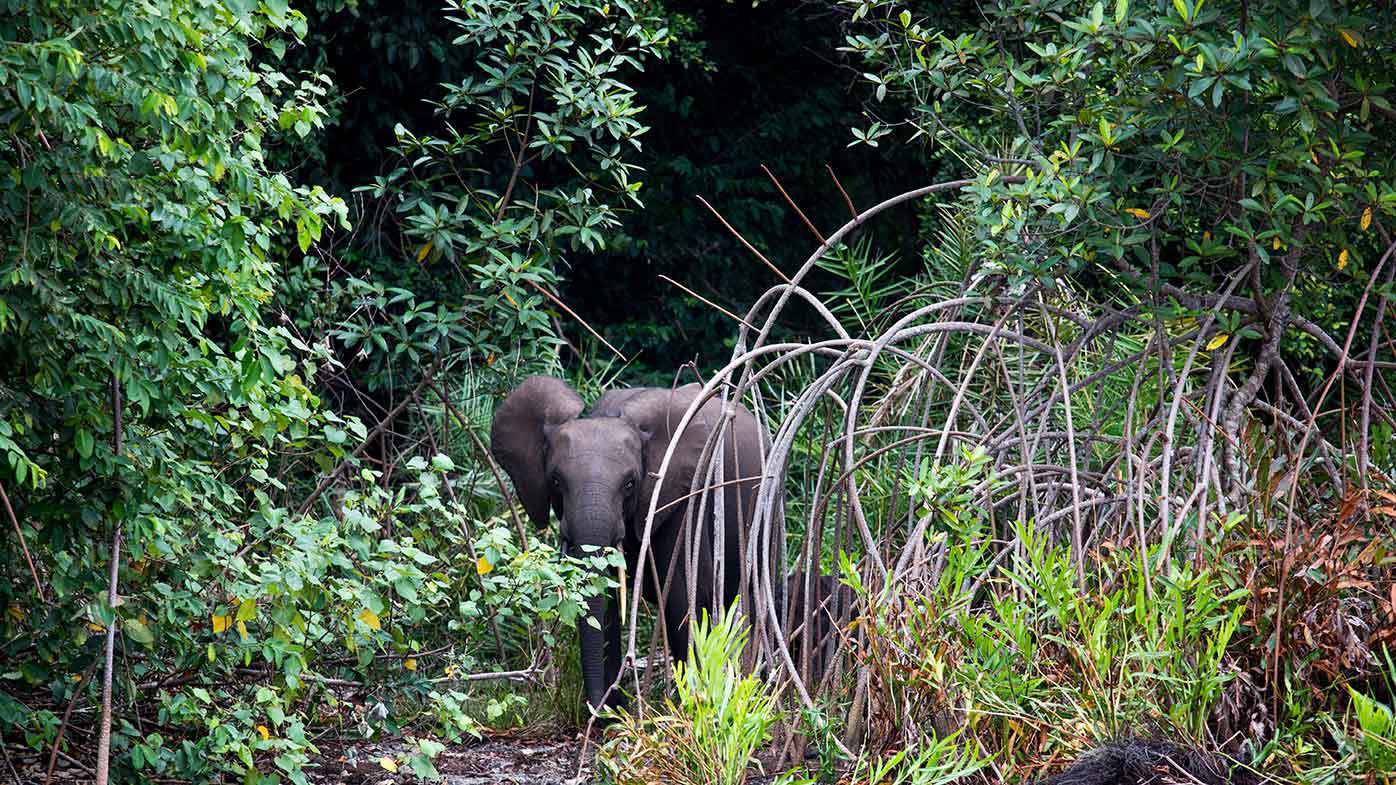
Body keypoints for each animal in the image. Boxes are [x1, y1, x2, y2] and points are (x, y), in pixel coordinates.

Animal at [490, 376, 769, 714]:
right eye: (556, 481)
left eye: (630, 484)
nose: (598, 710)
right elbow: (605, 603)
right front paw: (614, 714)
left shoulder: (681, 499)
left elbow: (682, 597)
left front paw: (691, 706)